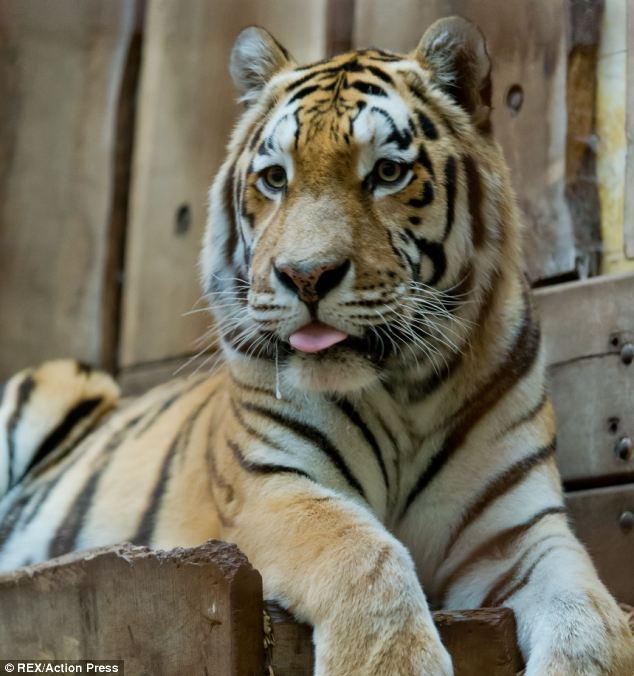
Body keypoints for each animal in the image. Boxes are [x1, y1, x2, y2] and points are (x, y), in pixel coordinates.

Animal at [1, 15, 632, 676]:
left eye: (387, 173)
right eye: (276, 178)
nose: (306, 276)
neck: (407, 392)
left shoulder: (518, 532)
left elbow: (590, 617)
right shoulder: (270, 488)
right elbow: (363, 551)